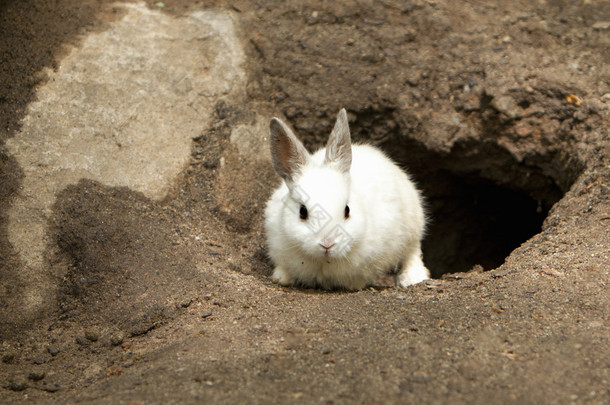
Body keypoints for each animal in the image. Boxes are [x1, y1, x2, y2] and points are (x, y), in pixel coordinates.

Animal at [262, 109, 428, 288]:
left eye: (347, 210)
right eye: (302, 212)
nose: (327, 244)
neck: (323, 262)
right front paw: (281, 278)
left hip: (413, 226)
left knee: (413, 253)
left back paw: (412, 278)